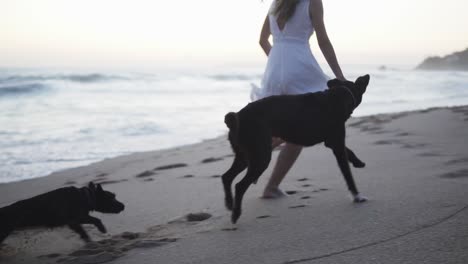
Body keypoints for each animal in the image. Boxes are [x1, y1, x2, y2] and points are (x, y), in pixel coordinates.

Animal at [221, 75, 372, 224]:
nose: (366, 76)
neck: (340, 94)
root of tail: (236, 117)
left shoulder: (332, 142)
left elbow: (349, 151)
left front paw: (358, 162)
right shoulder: (337, 144)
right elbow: (348, 174)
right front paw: (357, 196)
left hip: (245, 155)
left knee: (226, 177)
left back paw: (229, 203)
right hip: (260, 157)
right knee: (239, 185)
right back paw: (236, 214)